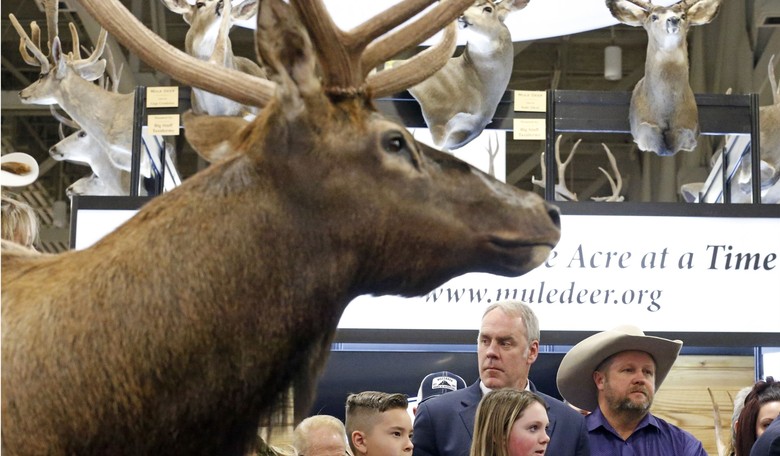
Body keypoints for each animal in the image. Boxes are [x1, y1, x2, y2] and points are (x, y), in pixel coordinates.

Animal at [606, 0, 722, 156]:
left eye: (683, 15)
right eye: (654, 17)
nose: (673, 19)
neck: (665, 111)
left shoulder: (690, 129)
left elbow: (683, 135)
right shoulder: (641, 128)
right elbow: (649, 131)